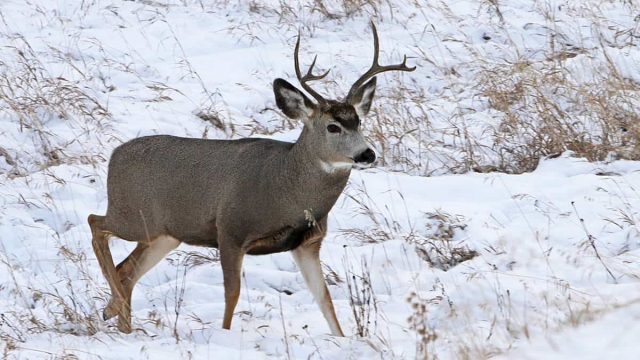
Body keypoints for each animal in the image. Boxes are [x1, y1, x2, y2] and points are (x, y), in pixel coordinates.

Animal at [89, 22, 416, 336]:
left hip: (163, 233)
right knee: (96, 224)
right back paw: (114, 309)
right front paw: (225, 336)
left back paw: (119, 318)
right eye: (333, 126)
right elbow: (232, 294)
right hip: (132, 216)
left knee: (126, 269)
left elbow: (325, 300)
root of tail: (115, 156)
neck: (288, 189)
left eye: (358, 121)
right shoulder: (231, 229)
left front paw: (345, 339)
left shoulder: (307, 243)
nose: (367, 154)